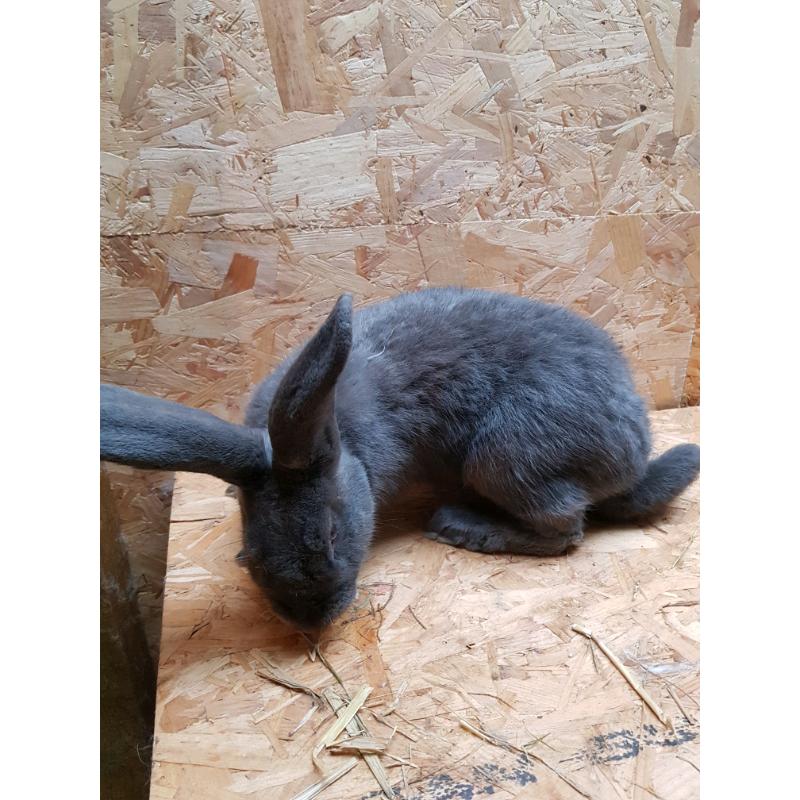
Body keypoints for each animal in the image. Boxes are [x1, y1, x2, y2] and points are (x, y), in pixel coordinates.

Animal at [101, 287, 699, 631]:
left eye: (333, 533)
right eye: (249, 545)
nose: (310, 621)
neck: (345, 443)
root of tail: (634, 453)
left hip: (504, 456)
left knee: (565, 528)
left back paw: (462, 528)